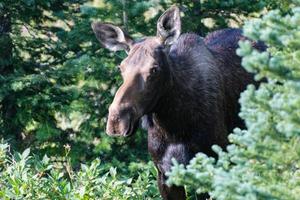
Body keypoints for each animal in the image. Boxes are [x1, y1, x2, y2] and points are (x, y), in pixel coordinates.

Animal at [91, 5, 264, 199]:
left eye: (154, 69)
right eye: (121, 67)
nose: (116, 120)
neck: (174, 125)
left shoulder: (216, 165)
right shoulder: (164, 173)